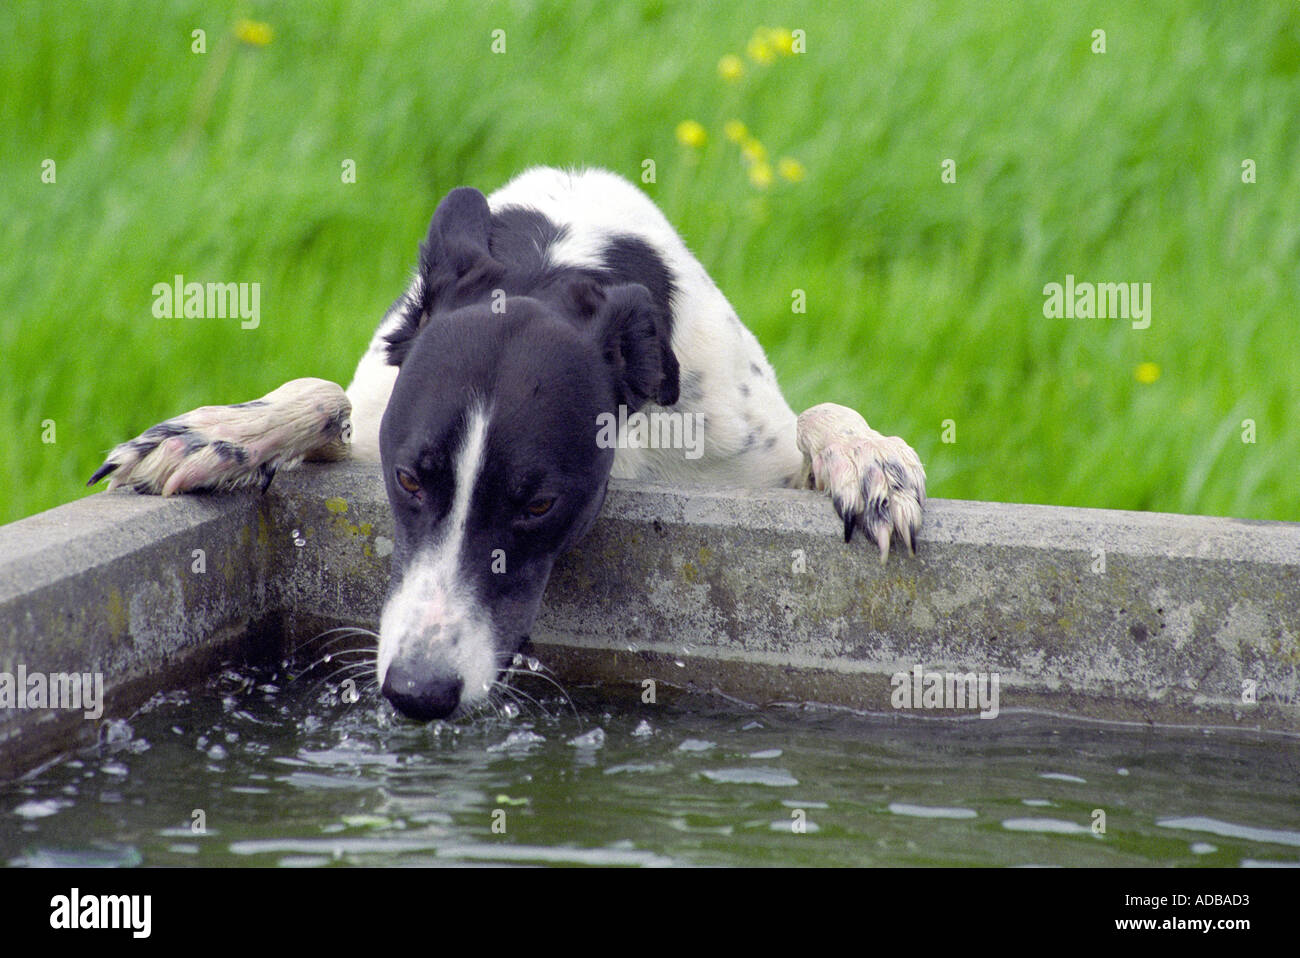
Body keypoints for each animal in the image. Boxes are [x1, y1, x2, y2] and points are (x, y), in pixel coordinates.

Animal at [89, 166, 925, 717]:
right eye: (409, 480)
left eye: (539, 505)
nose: (418, 696)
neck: (552, 259)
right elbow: (326, 397)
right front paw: (224, 431)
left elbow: (821, 416)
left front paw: (870, 459)